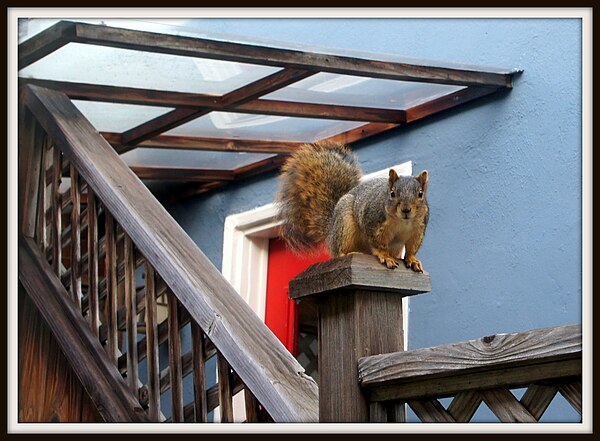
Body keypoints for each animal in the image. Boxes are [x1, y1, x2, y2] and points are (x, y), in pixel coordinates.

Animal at [274, 141, 428, 272]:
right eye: (392, 193)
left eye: (420, 193)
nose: (406, 210)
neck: (402, 222)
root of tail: (330, 229)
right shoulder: (373, 223)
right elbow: (378, 244)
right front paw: (386, 257)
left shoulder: (418, 229)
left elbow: (413, 247)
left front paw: (413, 260)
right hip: (344, 224)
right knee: (338, 250)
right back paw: (346, 253)